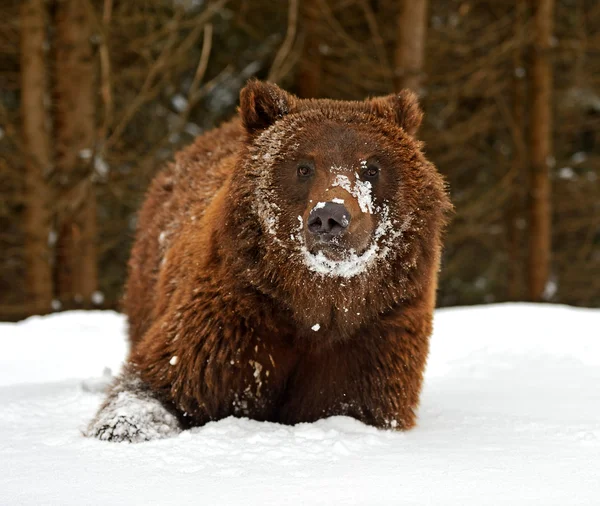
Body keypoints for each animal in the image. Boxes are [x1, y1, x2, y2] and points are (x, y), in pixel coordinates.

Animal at [84, 79, 450, 442]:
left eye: (371, 167)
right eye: (304, 166)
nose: (329, 216)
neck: (314, 304)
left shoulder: (375, 330)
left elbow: (356, 403)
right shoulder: (233, 320)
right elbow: (159, 384)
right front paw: (122, 428)